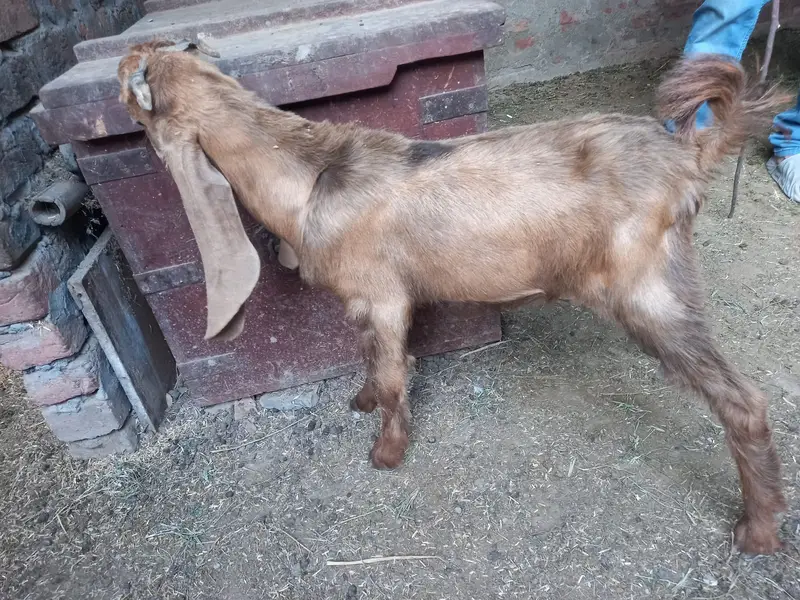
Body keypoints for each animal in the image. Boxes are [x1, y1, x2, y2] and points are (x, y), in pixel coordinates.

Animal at [118, 41, 790, 554]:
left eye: (133, 88)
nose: (122, 63)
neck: (312, 178)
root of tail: (687, 153)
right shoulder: (367, 304)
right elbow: (373, 359)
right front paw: (361, 402)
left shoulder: (383, 296)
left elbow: (394, 371)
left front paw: (387, 454)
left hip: (648, 291)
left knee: (744, 402)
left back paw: (757, 532)